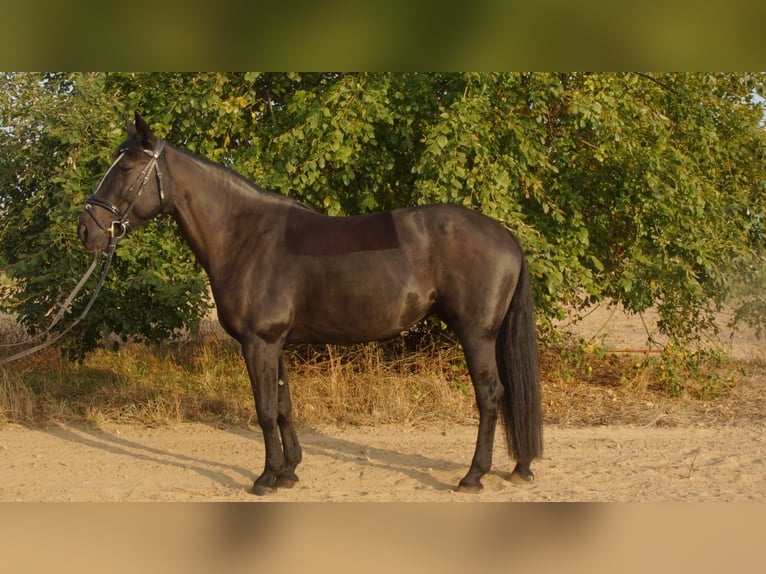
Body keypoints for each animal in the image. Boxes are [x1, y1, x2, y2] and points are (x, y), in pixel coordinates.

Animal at [78, 113, 544, 496]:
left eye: (125, 167)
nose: (88, 229)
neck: (246, 237)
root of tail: (505, 236)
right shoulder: (274, 343)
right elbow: (284, 406)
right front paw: (289, 472)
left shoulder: (258, 342)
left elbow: (265, 410)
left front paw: (266, 477)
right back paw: (519, 467)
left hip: (476, 335)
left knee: (490, 396)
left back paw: (473, 476)